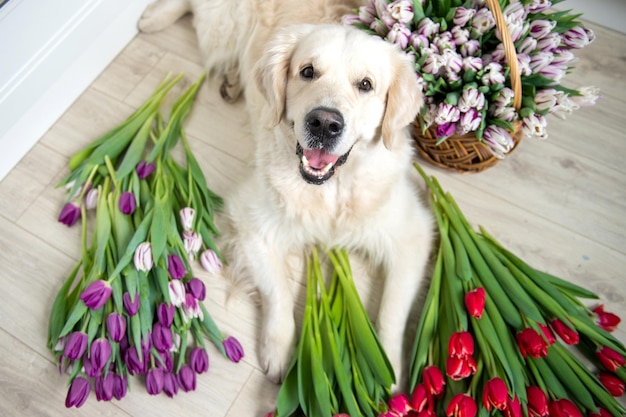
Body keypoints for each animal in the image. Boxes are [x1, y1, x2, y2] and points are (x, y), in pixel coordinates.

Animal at [138, 0, 428, 386]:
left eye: (366, 85)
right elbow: (278, 294)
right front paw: (278, 351)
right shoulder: (251, 223)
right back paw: (152, 20)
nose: (324, 123)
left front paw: (390, 369)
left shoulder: (413, 235)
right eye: (307, 71)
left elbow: (392, 313)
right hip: (222, 28)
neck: (330, 190)